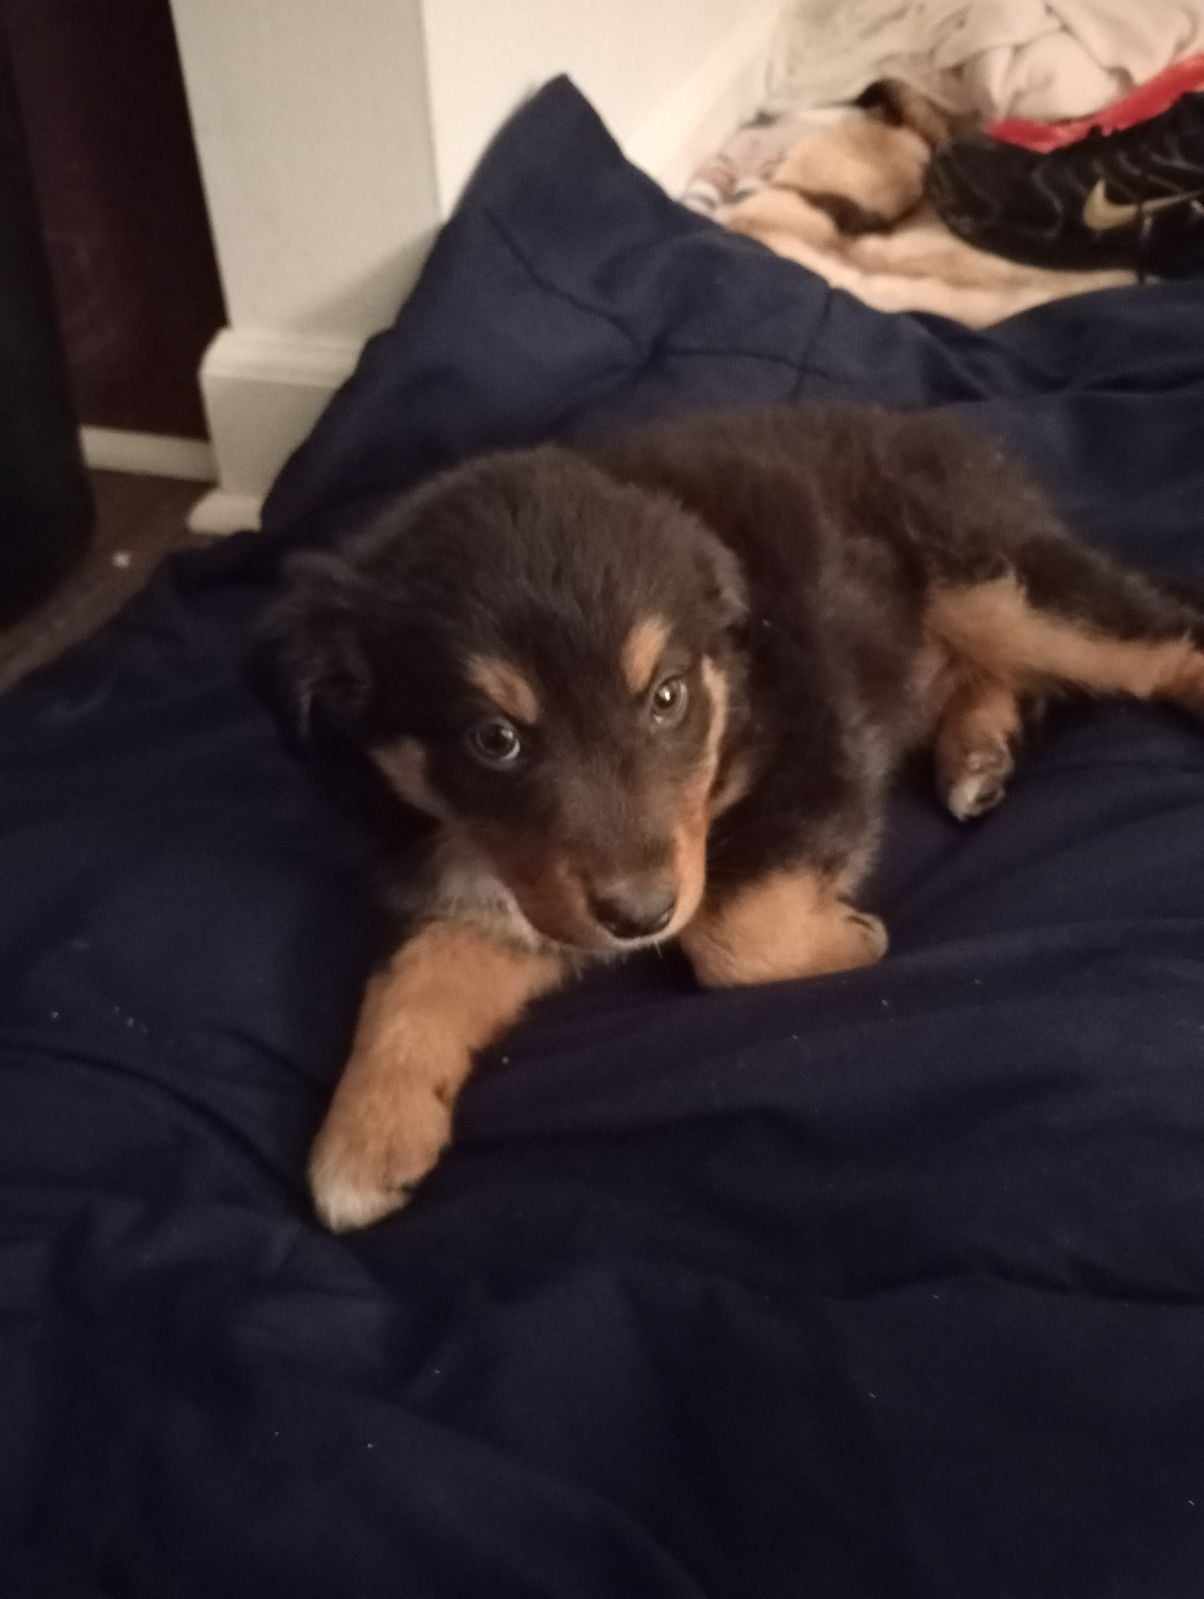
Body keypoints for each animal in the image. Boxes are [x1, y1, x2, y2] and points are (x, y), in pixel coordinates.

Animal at [262, 406, 1202, 1228]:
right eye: (495, 739)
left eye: (666, 697)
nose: (639, 915)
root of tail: (935, 425)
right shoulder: (506, 874)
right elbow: (413, 972)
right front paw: (366, 1135)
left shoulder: (817, 750)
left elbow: (729, 929)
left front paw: (851, 941)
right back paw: (978, 752)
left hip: (993, 580)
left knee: (1157, 636)